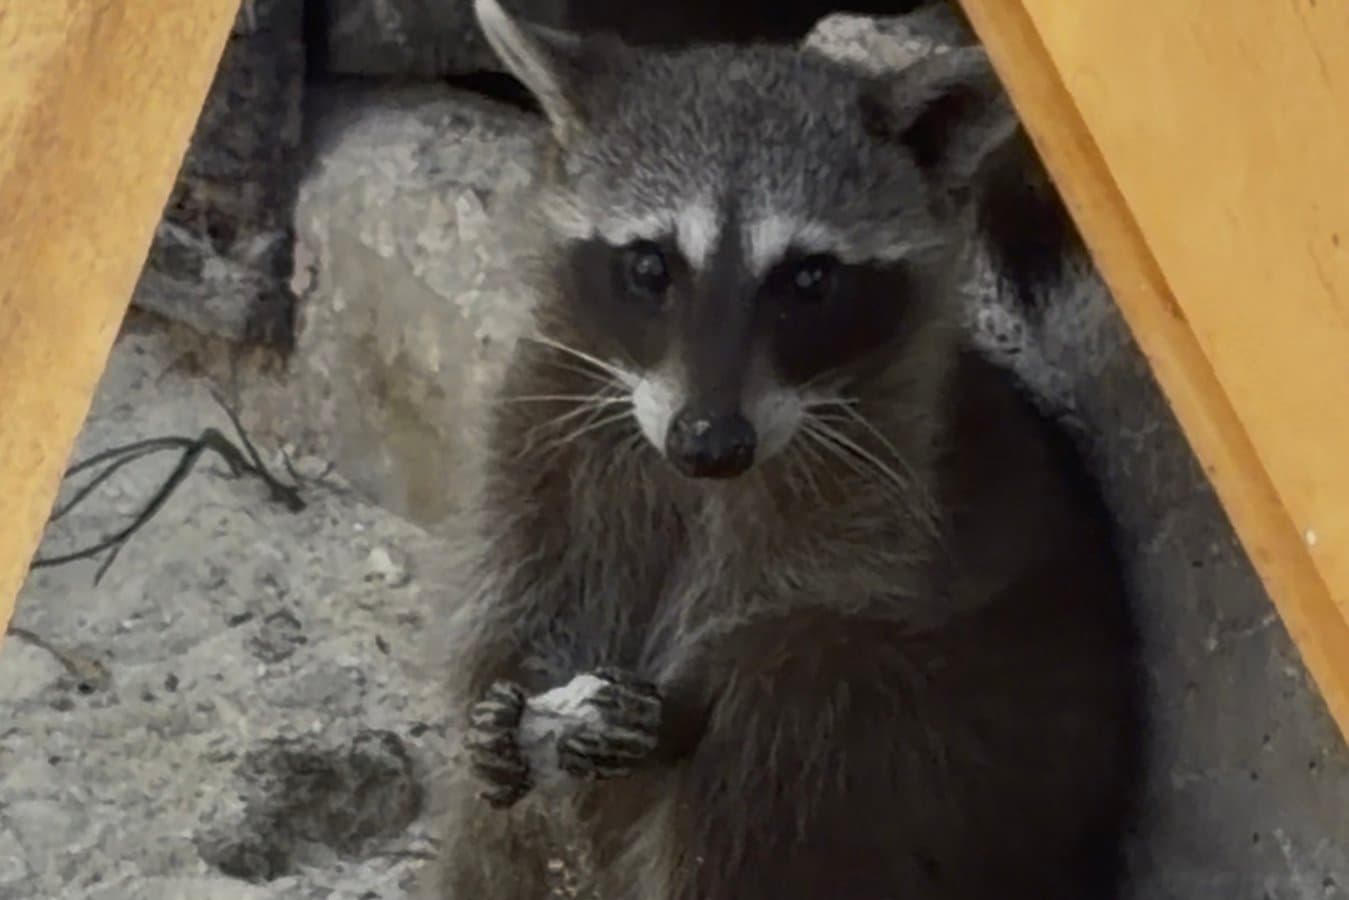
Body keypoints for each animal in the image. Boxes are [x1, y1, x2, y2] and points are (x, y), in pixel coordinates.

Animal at [424, 1, 1143, 897]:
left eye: (808, 279)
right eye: (650, 265)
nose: (709, 443)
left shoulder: (883, 481)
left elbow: (793, 610)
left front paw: (682, 697)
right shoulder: (540, 426)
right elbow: (515, 581)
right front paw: (505, 686)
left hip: (977, 752)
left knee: (786, 731)